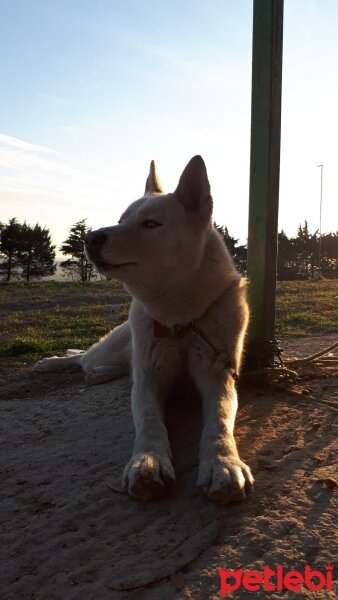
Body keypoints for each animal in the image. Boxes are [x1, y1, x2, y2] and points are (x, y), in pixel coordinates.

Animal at [36, 157, 254, 504]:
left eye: (151, 224)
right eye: (120, 219)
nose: (90, 238)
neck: (181, 322)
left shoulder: (218, 376)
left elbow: (219, 421)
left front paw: (223, 463)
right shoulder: (149, 379)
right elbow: (149, 419)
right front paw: (147, 462)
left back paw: (96, 375)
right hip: (114, 348)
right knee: (83, 357)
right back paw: (52, 363)